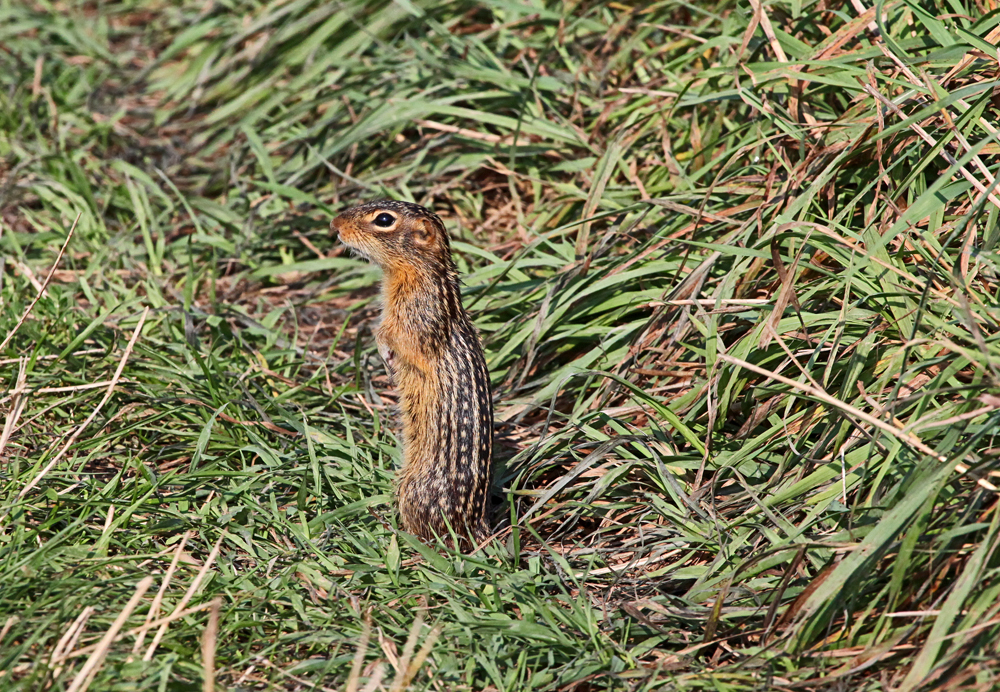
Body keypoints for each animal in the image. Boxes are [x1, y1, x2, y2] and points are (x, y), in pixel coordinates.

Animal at [334, 199, 494, 548]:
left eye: (383, 220)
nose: (334, 224)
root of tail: (474, 526)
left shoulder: (415, 318)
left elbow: (394, 336)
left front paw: (384, 353)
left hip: (411, 491)